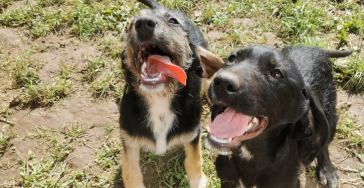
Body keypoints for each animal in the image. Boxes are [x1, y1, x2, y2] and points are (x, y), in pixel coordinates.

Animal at [119, 0, 223, 188]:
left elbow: (194, 159)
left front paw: (198, 179)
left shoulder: (193, 133)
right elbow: (130, 172)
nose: (143, 23)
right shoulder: (128, 140)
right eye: (130, 25)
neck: (159, 100)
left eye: (173, 22)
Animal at [203, 45, 352, 188]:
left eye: (276, 74)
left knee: (324, 143)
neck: (250, 156)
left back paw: (327, 171)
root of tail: (315, 48)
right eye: (232, 58)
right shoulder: (227, 181)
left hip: (330, 118)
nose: (222, 82)